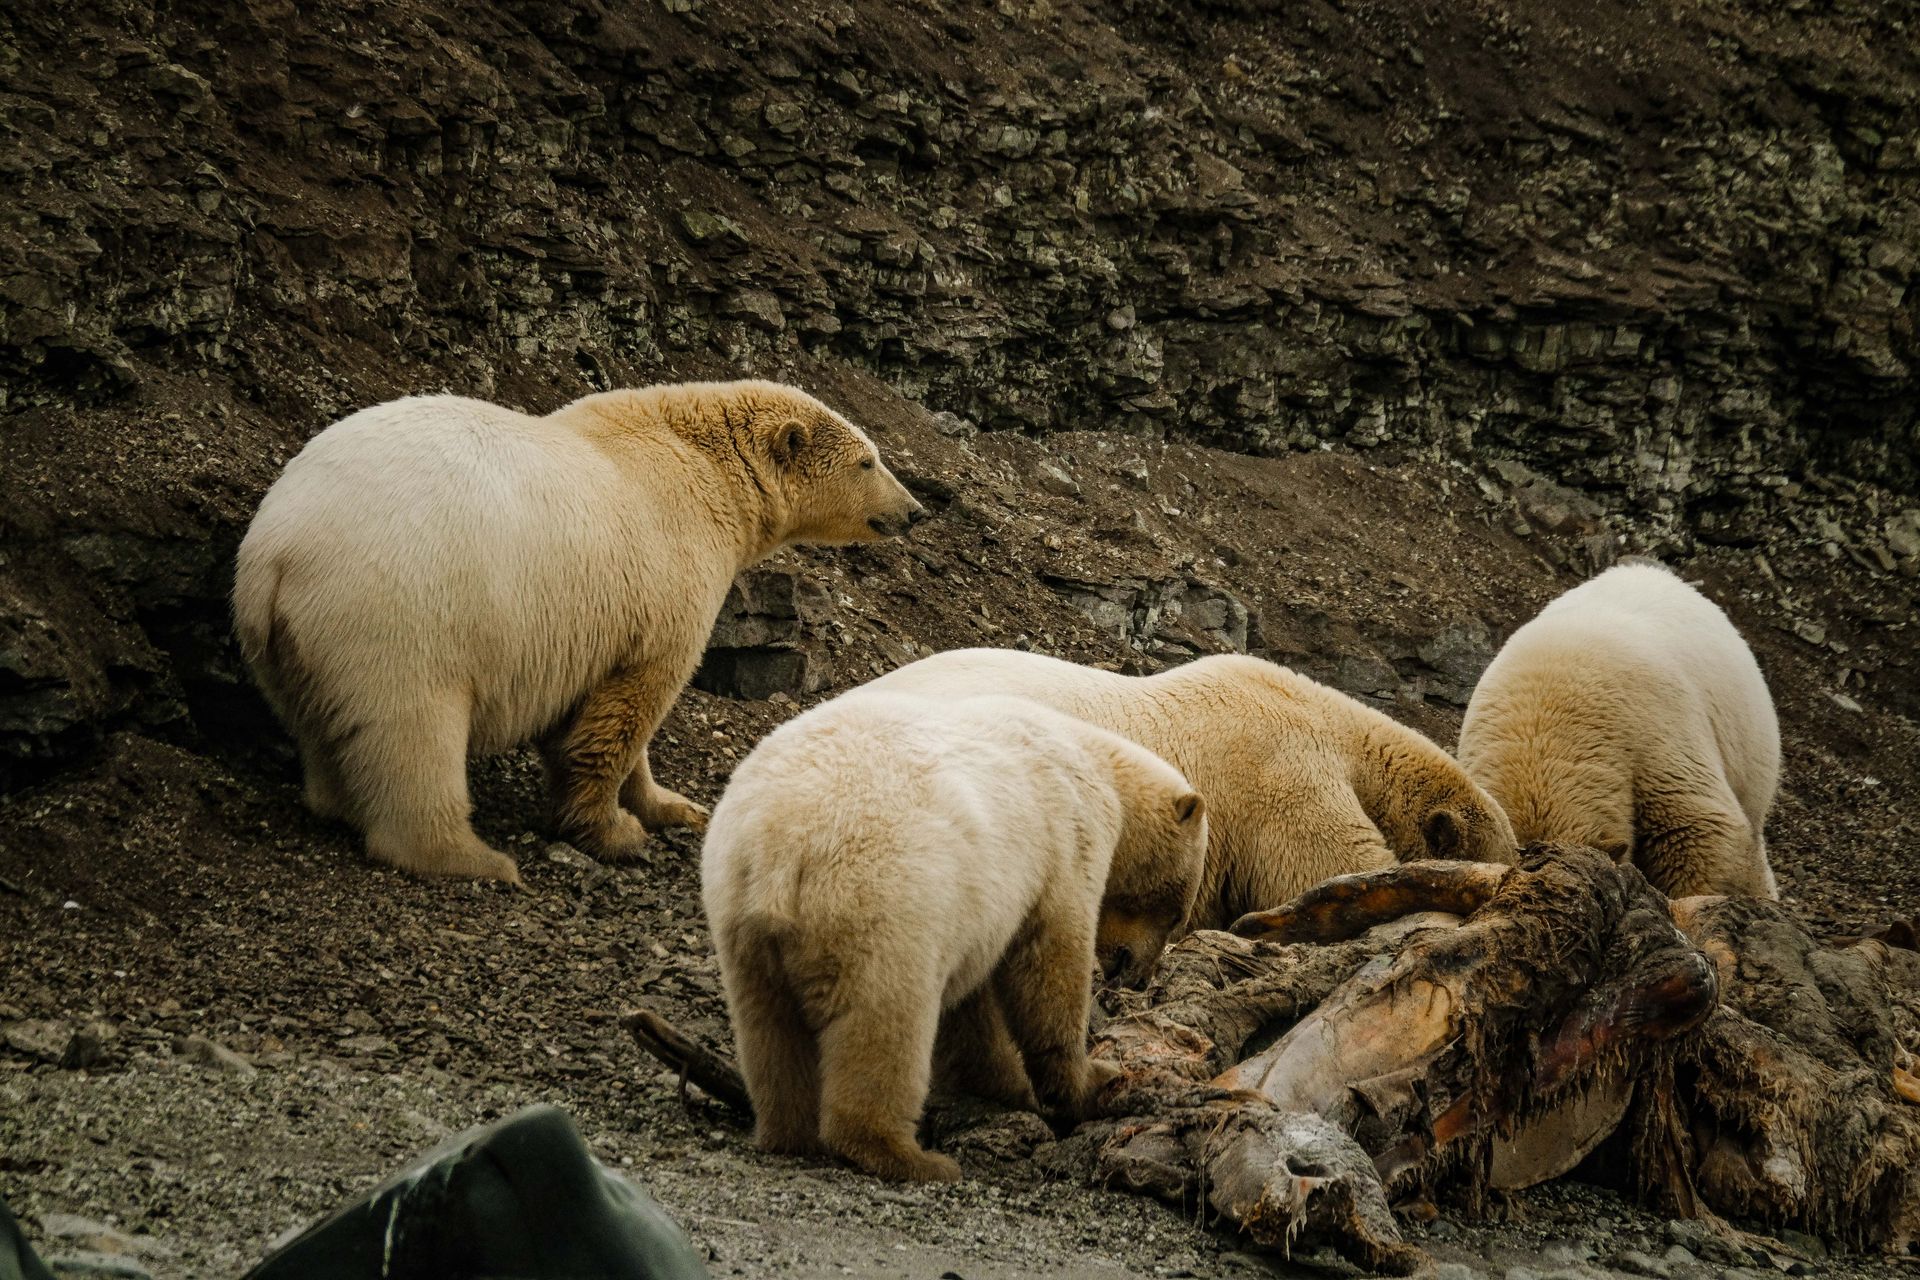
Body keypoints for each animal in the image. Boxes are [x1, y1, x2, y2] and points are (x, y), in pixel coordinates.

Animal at [233, 380, 925, 884]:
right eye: (868, 460)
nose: (915, 511)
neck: (706, 465)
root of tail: (277, 554)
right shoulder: (662, 577)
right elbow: (628, 708)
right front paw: (613, 831)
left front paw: (672, 804)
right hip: (399, 612)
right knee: (413, 731)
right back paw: (474, 858)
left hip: (293, 640)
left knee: (321, 721)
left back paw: (333, 800)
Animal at [701, 690, 1207, 1183]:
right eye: (1174, 913)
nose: (1140, 977)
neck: (1101, 767)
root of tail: (781, 846)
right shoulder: (1066, 841)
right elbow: (1049, 966)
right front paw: (1094, 1082)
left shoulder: (981, 910)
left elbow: (973, 1010)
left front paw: (1006, 1085)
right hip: (884, 901)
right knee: (886, 1022)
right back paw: (906, 1155)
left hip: (739, 914)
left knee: (767, 1026)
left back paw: (789, 1130)